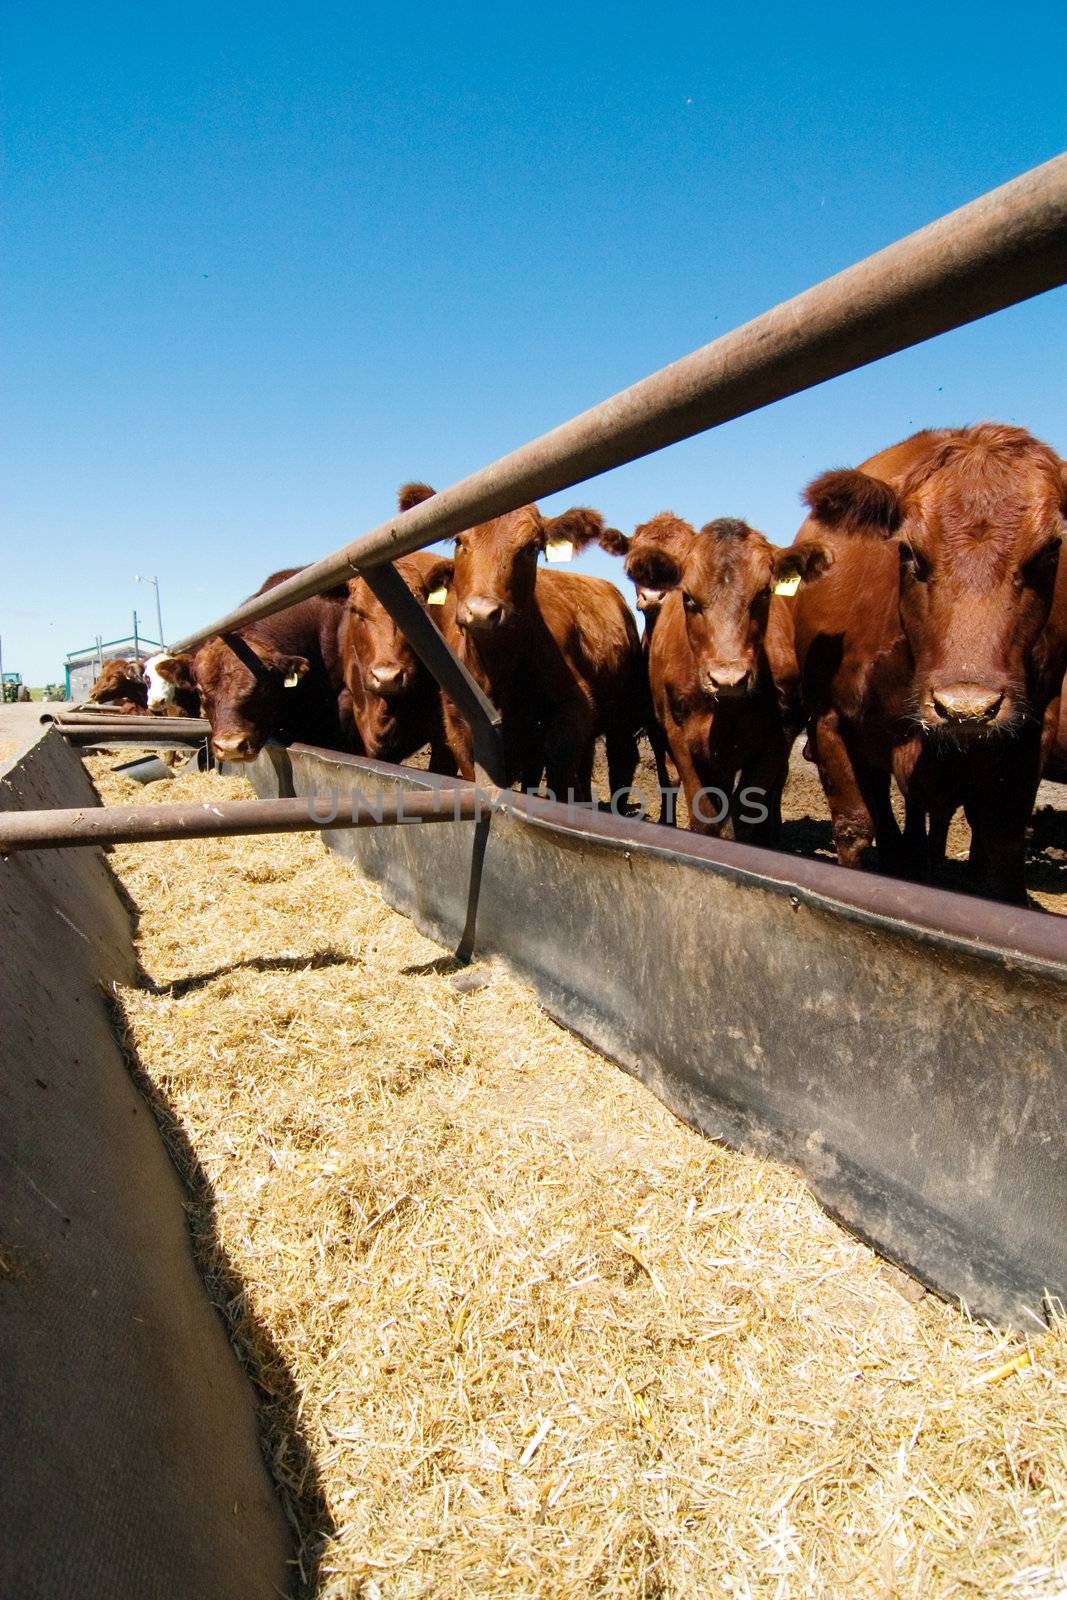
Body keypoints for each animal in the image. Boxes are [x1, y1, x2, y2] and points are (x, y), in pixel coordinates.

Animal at [398, 476, 639, 796]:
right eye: (460, 541)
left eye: (532, 548)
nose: (481, 611)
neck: (497, 669)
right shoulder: (459, 728)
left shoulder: (573, 714)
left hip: (622, 716)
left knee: (620, 763)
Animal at [630, 515, 812, 844]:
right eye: (688, 598)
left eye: (764, 594)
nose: (728, 678)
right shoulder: (676, 736)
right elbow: (703, 816)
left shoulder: (779, 737)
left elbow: (747, 816)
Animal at [793, 425, 1067, 902]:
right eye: (910, 550)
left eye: (1049, 550)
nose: (966, 708)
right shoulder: (828, 722)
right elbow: (855, 829)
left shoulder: (1032, 733)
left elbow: (1005, 841)